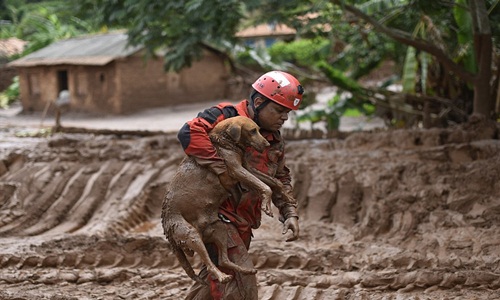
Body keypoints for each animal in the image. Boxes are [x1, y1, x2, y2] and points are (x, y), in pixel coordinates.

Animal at [162, 116, 288, 284]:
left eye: (259, 129)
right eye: (252, 131)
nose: (267, 144)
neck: (224, 141)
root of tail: (167, 229)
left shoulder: (246, 168)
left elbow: (273, 182)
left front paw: (286, 196)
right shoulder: (237, 170)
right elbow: (265, 186)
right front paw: (266, 204)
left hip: (219, 229)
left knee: (223, 260)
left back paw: (245, 270)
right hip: (190, 234)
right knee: (210, 264)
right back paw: (222, 276)